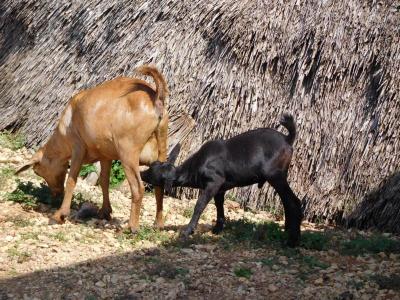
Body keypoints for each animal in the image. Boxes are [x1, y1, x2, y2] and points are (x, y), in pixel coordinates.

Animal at [15, 65, 168, 232]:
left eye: (37, 171)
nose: (56, 193)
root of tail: (155, 96)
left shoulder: (78, 148)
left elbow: (72, 180)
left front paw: (60, 215)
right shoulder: (106, 156)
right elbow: (104, 181)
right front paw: (105, 212)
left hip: (128, 152)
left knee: (138, 188)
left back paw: (131, 227)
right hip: (160, 152)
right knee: (159, 186)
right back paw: (158, 224)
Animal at [142, 113, 302, 247]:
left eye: (152, 172)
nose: (142, 174)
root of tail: (287, 139)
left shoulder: (214, 183)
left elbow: (200, 205)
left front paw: (188, 230)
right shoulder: (220, 189)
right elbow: (219, 206)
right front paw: (218, 228)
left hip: (275, 176)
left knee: (294, 202)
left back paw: (292, 240)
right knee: (287, 203)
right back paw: (287, 231)